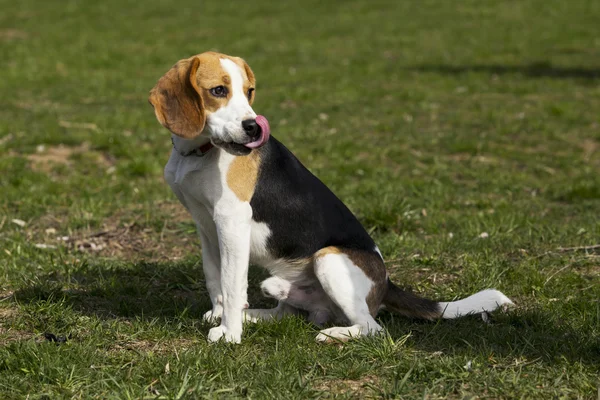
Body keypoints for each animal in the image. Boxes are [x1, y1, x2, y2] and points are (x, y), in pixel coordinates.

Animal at [146, 50, 510, 344]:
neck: (197, 153)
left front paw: (229, 334)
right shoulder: (206, 225)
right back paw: (258, 314)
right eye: (218, 91)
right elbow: (215, 278)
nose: (254, 127)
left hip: (329, 259)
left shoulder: (232, 221)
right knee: (286, 313)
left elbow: (232, 284)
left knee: (373, 328)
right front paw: (220, 317)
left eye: (249, 92)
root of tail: (386, 282)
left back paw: (332, 334)